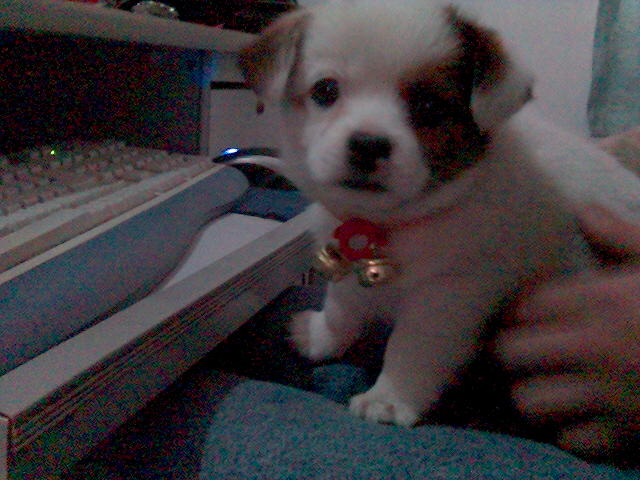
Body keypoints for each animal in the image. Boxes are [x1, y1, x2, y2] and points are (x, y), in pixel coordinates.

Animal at [237, 0, 640, 427]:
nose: (368, 144)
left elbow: (413, 347)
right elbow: (340, 308)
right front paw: (321, 338)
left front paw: (389, 398)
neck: (394, 223)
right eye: (325, 90)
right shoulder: (347, 260)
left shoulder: (449, 292)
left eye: (429, 105)